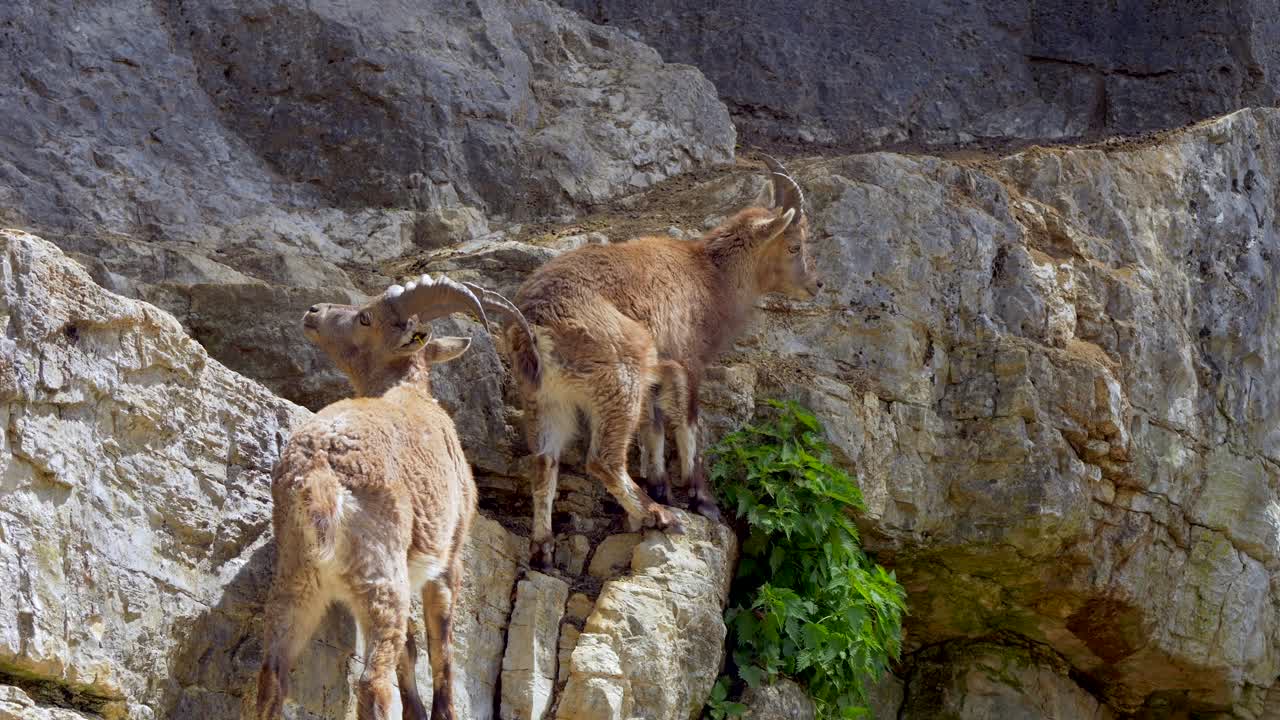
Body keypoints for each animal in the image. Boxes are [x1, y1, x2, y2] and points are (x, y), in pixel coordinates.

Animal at [256, 274, 530, 720]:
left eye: (365, 317)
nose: (313, 311)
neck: (408, 392)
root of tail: (317, 470)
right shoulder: (450, 556)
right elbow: (441, 649)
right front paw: (441, 713)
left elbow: (410, 650)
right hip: (382, 575)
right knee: (373, 682)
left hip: (296, 577)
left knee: (272, 676)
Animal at [502, 156, 821, 567]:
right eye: (795, 245)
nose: (817, 285)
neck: (710, 277)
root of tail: (535, 324)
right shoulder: (687, 362)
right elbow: (687, 424)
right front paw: (700, 501)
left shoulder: (657, 377)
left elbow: (652, 428)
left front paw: (661, 488)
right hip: (621, 373)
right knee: (602, 460)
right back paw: (659, 517)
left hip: (545, 398)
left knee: (544, 463)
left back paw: (543, 550)